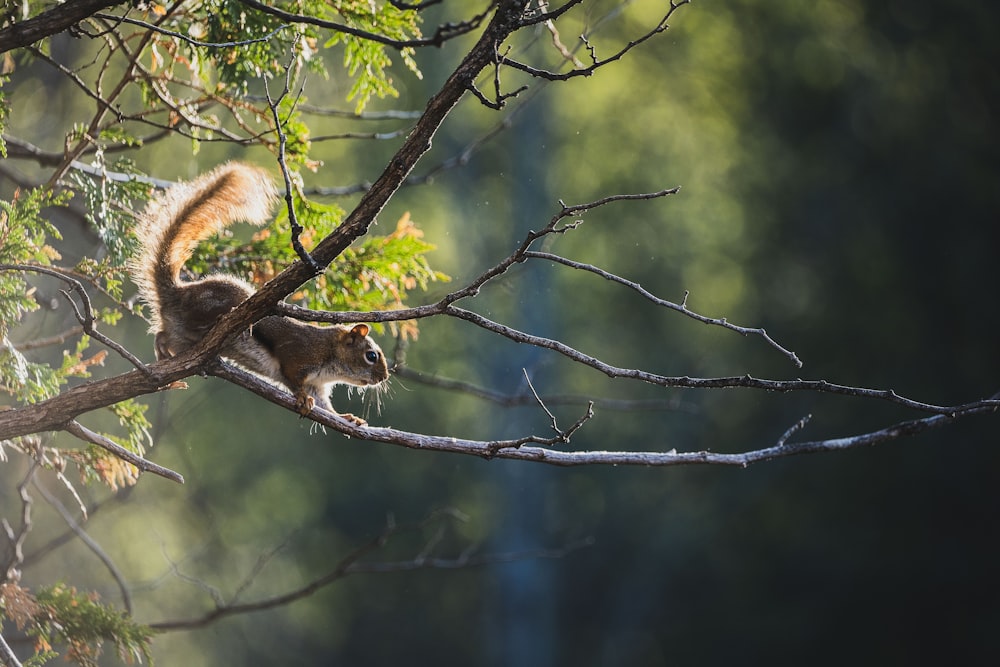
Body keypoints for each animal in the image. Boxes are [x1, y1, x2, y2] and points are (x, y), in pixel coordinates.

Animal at [129, 162, 386, 426]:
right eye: (371, 356)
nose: (384, 378)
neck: (330, 354)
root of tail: (177, 294)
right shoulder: (298, 356)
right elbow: (293, 380)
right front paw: (302, 399)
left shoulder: (317, 385)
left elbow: (327, 408)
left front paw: (348, 418)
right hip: (217, 300)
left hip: (180, 337)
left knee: (162, 335)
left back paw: (162, 358)